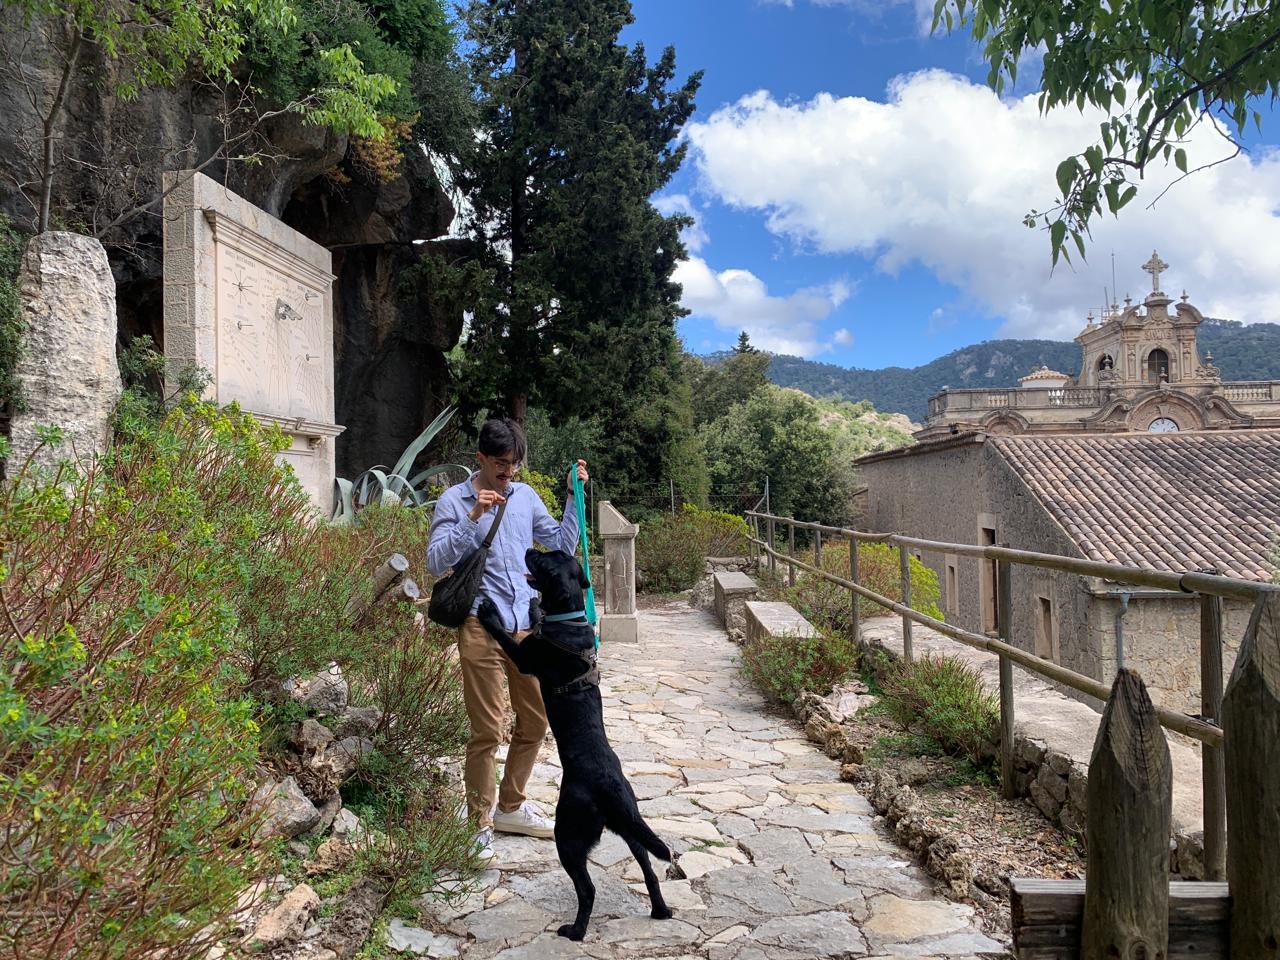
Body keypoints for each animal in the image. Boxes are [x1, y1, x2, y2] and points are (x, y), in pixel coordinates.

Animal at [477, 548, 672, 941]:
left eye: (543, 560)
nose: (530, 549)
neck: (569, 618)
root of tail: (610, 787)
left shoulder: (525, 657)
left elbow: (504, 634)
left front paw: (490, 613)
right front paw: (534, 607)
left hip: (567, 834)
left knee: (588, 887)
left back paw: (576, 931)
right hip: (631, 829)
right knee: (649, 871)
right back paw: (660, 911)